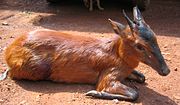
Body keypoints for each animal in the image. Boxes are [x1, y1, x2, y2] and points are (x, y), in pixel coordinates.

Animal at [1, 6, 170, 101]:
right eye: (139, 45)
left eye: (155, 37)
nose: (166, 70)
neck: (117, 55)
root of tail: (9, 50)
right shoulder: (108, 78)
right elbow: (134, 94)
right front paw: (95, 93)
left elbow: (142, 77)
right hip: (36, 69)